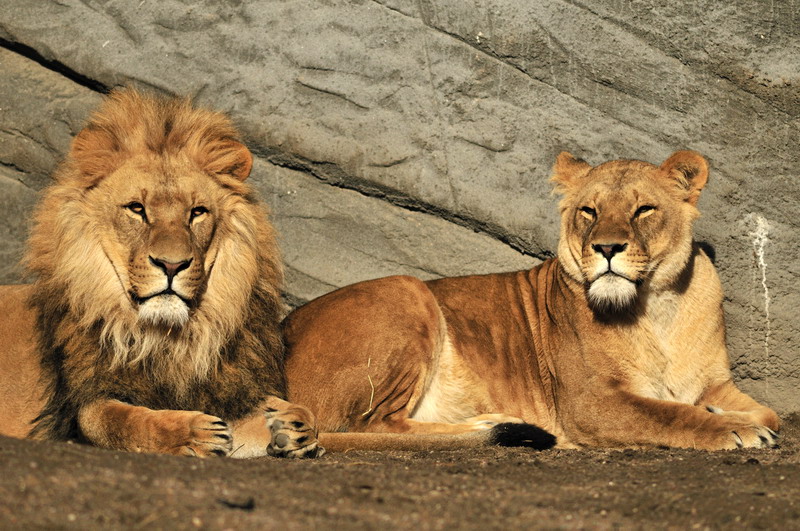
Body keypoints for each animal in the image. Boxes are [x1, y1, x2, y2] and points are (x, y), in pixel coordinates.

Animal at [0, 89, 321, 458]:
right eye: (137, 209)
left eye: (197, 212)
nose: (171, 264)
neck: (167, 340)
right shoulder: (79, 408)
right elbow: (118, 420)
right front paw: (192, 432)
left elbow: (295, 415)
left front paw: (288, 423)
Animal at [281, 150, 780, 451]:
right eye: (589, 211)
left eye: (644, 210)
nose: (607, 248)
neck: (658, 309)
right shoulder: (589, 402)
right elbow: (671, 414)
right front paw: (733, 427)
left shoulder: (714, 381)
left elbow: (771, 412)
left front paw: (728, 413)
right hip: (406, 289)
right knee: (366, 426)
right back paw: (489, 427)